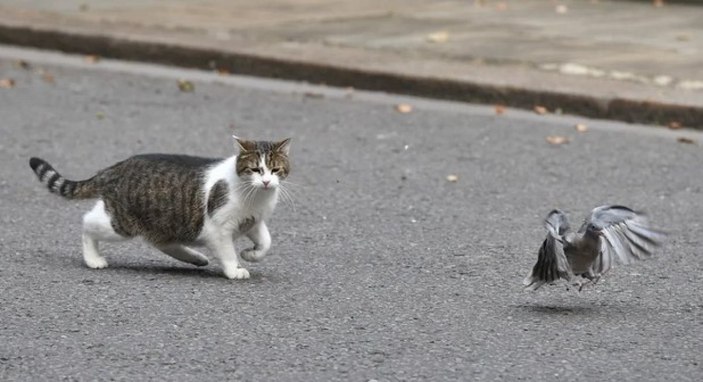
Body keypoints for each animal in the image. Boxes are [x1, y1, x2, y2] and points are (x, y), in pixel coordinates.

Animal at [28, 136, 290, 280]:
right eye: (255, 169)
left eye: (275, 170)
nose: (266, 182)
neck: (257, 197)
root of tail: (117, 167)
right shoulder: (219, 229)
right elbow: (227, 253)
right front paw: (234, 269)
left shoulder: (253, 221)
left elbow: (266, 242)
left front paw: (251, 254)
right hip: (121, 223)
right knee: (87, 222)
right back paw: (93, 259)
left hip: (165, 220)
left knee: (162, 242)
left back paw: (195, 258)